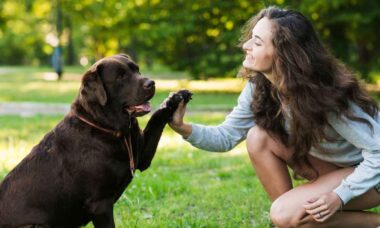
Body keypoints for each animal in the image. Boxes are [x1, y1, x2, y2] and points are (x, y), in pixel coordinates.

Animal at [0, 54, 191, 227]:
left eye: (137, 69)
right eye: (120, 76)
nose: (151, 83)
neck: (108, 128)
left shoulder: (142, 156)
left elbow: (156, 118)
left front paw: (175, 98)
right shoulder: (100, 204)